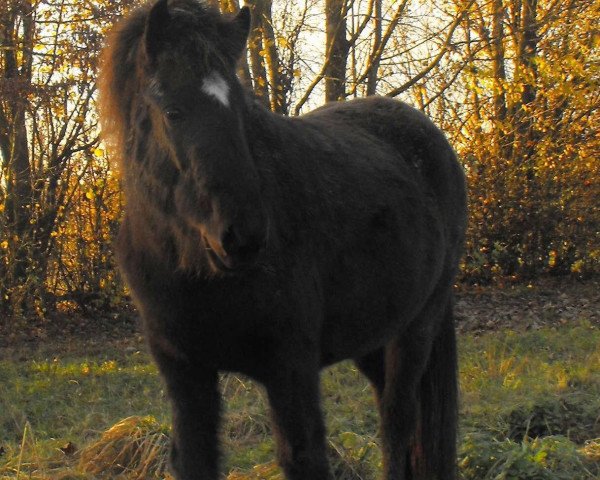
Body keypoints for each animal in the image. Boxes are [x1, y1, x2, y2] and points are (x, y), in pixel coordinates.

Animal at [99, 0, 468, 480]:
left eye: (241, 111)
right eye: (173, 111)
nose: (244, 236)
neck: (188, 269)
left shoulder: (290, 369)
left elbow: (304, 455)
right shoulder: (186, 375)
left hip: (417, 326)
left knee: (397, 421)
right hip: (373, 336)